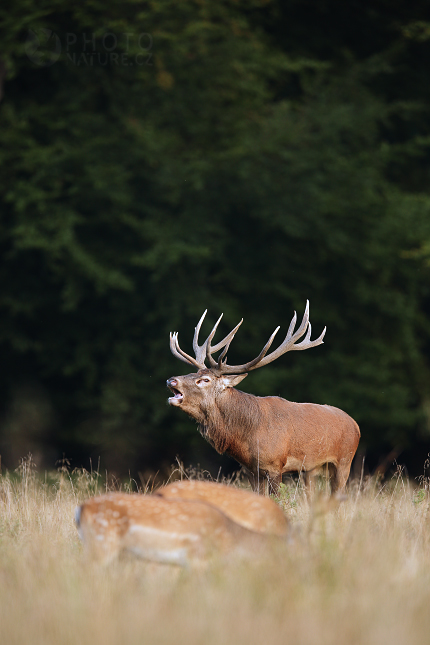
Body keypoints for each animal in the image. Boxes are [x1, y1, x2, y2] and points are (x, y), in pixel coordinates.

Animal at [166, 302, 362, 494]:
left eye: (205, 380)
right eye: (194, 373)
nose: (171, 380)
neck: (246, 438)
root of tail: (356, 425)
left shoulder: (274, 465)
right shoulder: (251, 470)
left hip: (345, 462)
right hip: (311, 469)